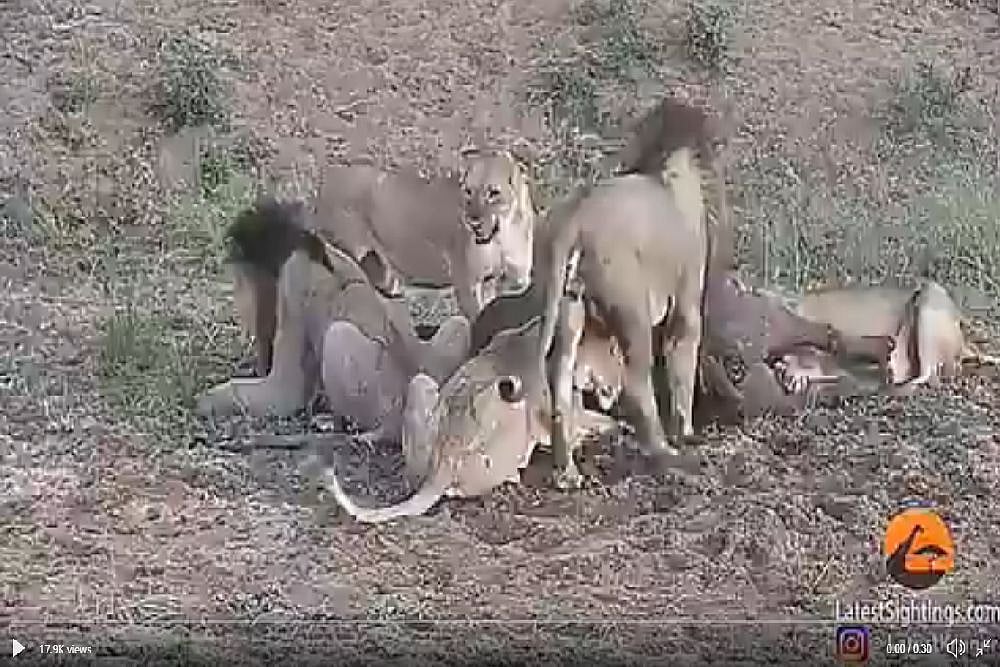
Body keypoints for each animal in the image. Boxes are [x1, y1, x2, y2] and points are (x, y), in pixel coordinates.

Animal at [195, 198, 470, 445]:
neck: (304, 242)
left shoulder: (292, 280)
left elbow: (286, 391)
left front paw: (203, 401)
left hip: (379, 398)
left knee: (338, 335)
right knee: (459, 324)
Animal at [312, 149, 536, 320]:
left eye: (493, 193)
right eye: (468, 191)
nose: (472, 221)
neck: (503, 237)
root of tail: (331, 172)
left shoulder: (514, 280)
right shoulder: (467, 284)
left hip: (383, 273)